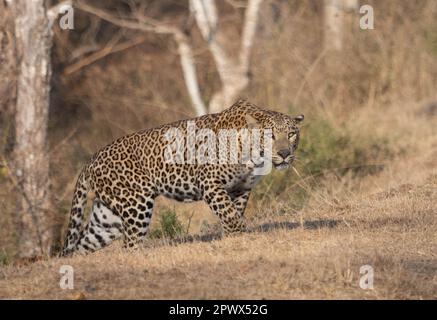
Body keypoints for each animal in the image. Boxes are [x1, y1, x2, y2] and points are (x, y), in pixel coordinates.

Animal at [61, 99, 304, 256]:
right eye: (270, 136)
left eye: (291, 134)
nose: (284, 153)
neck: (253, 155)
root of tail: (91, 160)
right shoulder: (210, 183)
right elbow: (229, 214)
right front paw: (240, 235)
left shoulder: (241, 189)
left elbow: (233, 213)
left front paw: (232, 238)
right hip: (136, 205)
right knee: (130, 244)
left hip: (107, 218)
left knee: (82, 244)